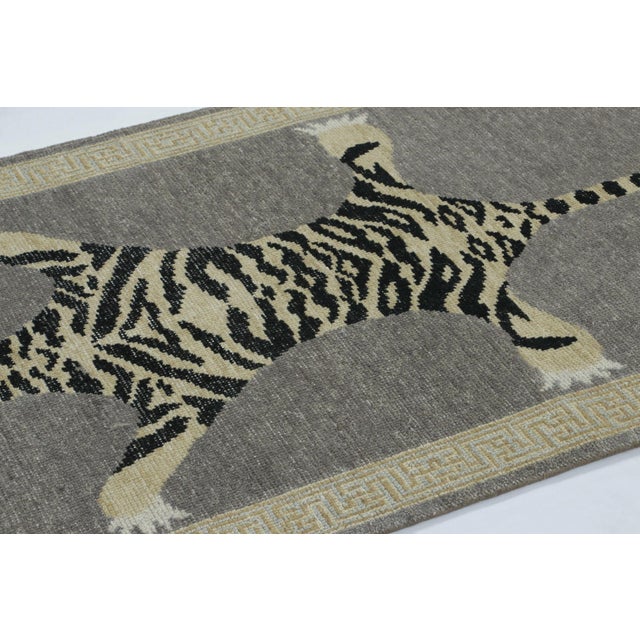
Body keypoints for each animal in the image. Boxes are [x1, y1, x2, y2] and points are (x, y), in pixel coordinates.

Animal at [0, 112, 634, 532]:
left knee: (526, 323)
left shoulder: (180, 400)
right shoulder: (81, 270)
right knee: (370, 163)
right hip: (409, 223)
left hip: (469, 282)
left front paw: (139, 513)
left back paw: (574, 360)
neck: (65, 351)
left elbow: (134, 474)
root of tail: (493, 214)